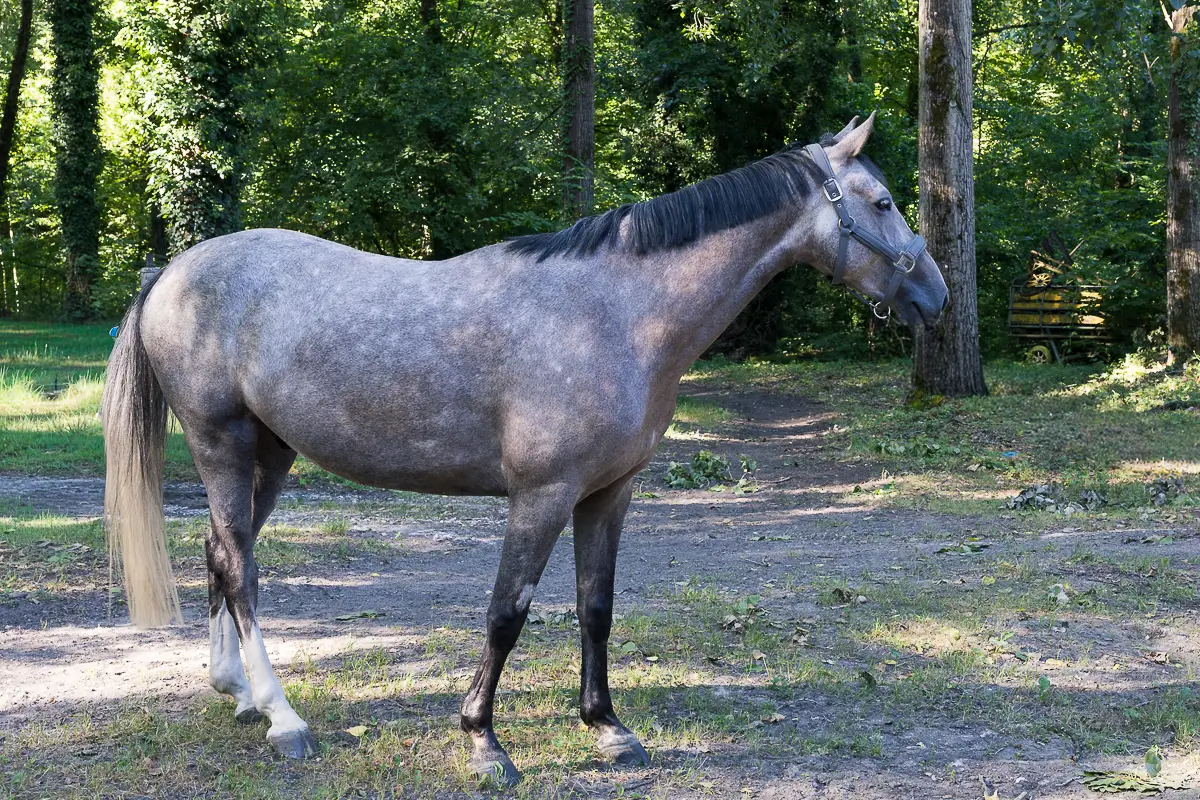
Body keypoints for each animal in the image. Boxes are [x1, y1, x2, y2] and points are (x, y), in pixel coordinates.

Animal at [101, 113, 948, 785]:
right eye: (882, 202)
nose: (935, 296)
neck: (617, 311)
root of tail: (171, 271)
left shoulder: (609, 493)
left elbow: (596, 607)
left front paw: (607, 729)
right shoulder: (541, 495)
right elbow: (506, 613)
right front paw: (483, 742)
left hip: (270, 457)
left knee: (221, 554)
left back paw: (237, 693)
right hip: (221, 443)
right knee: (240, 570)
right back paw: (283, 717)